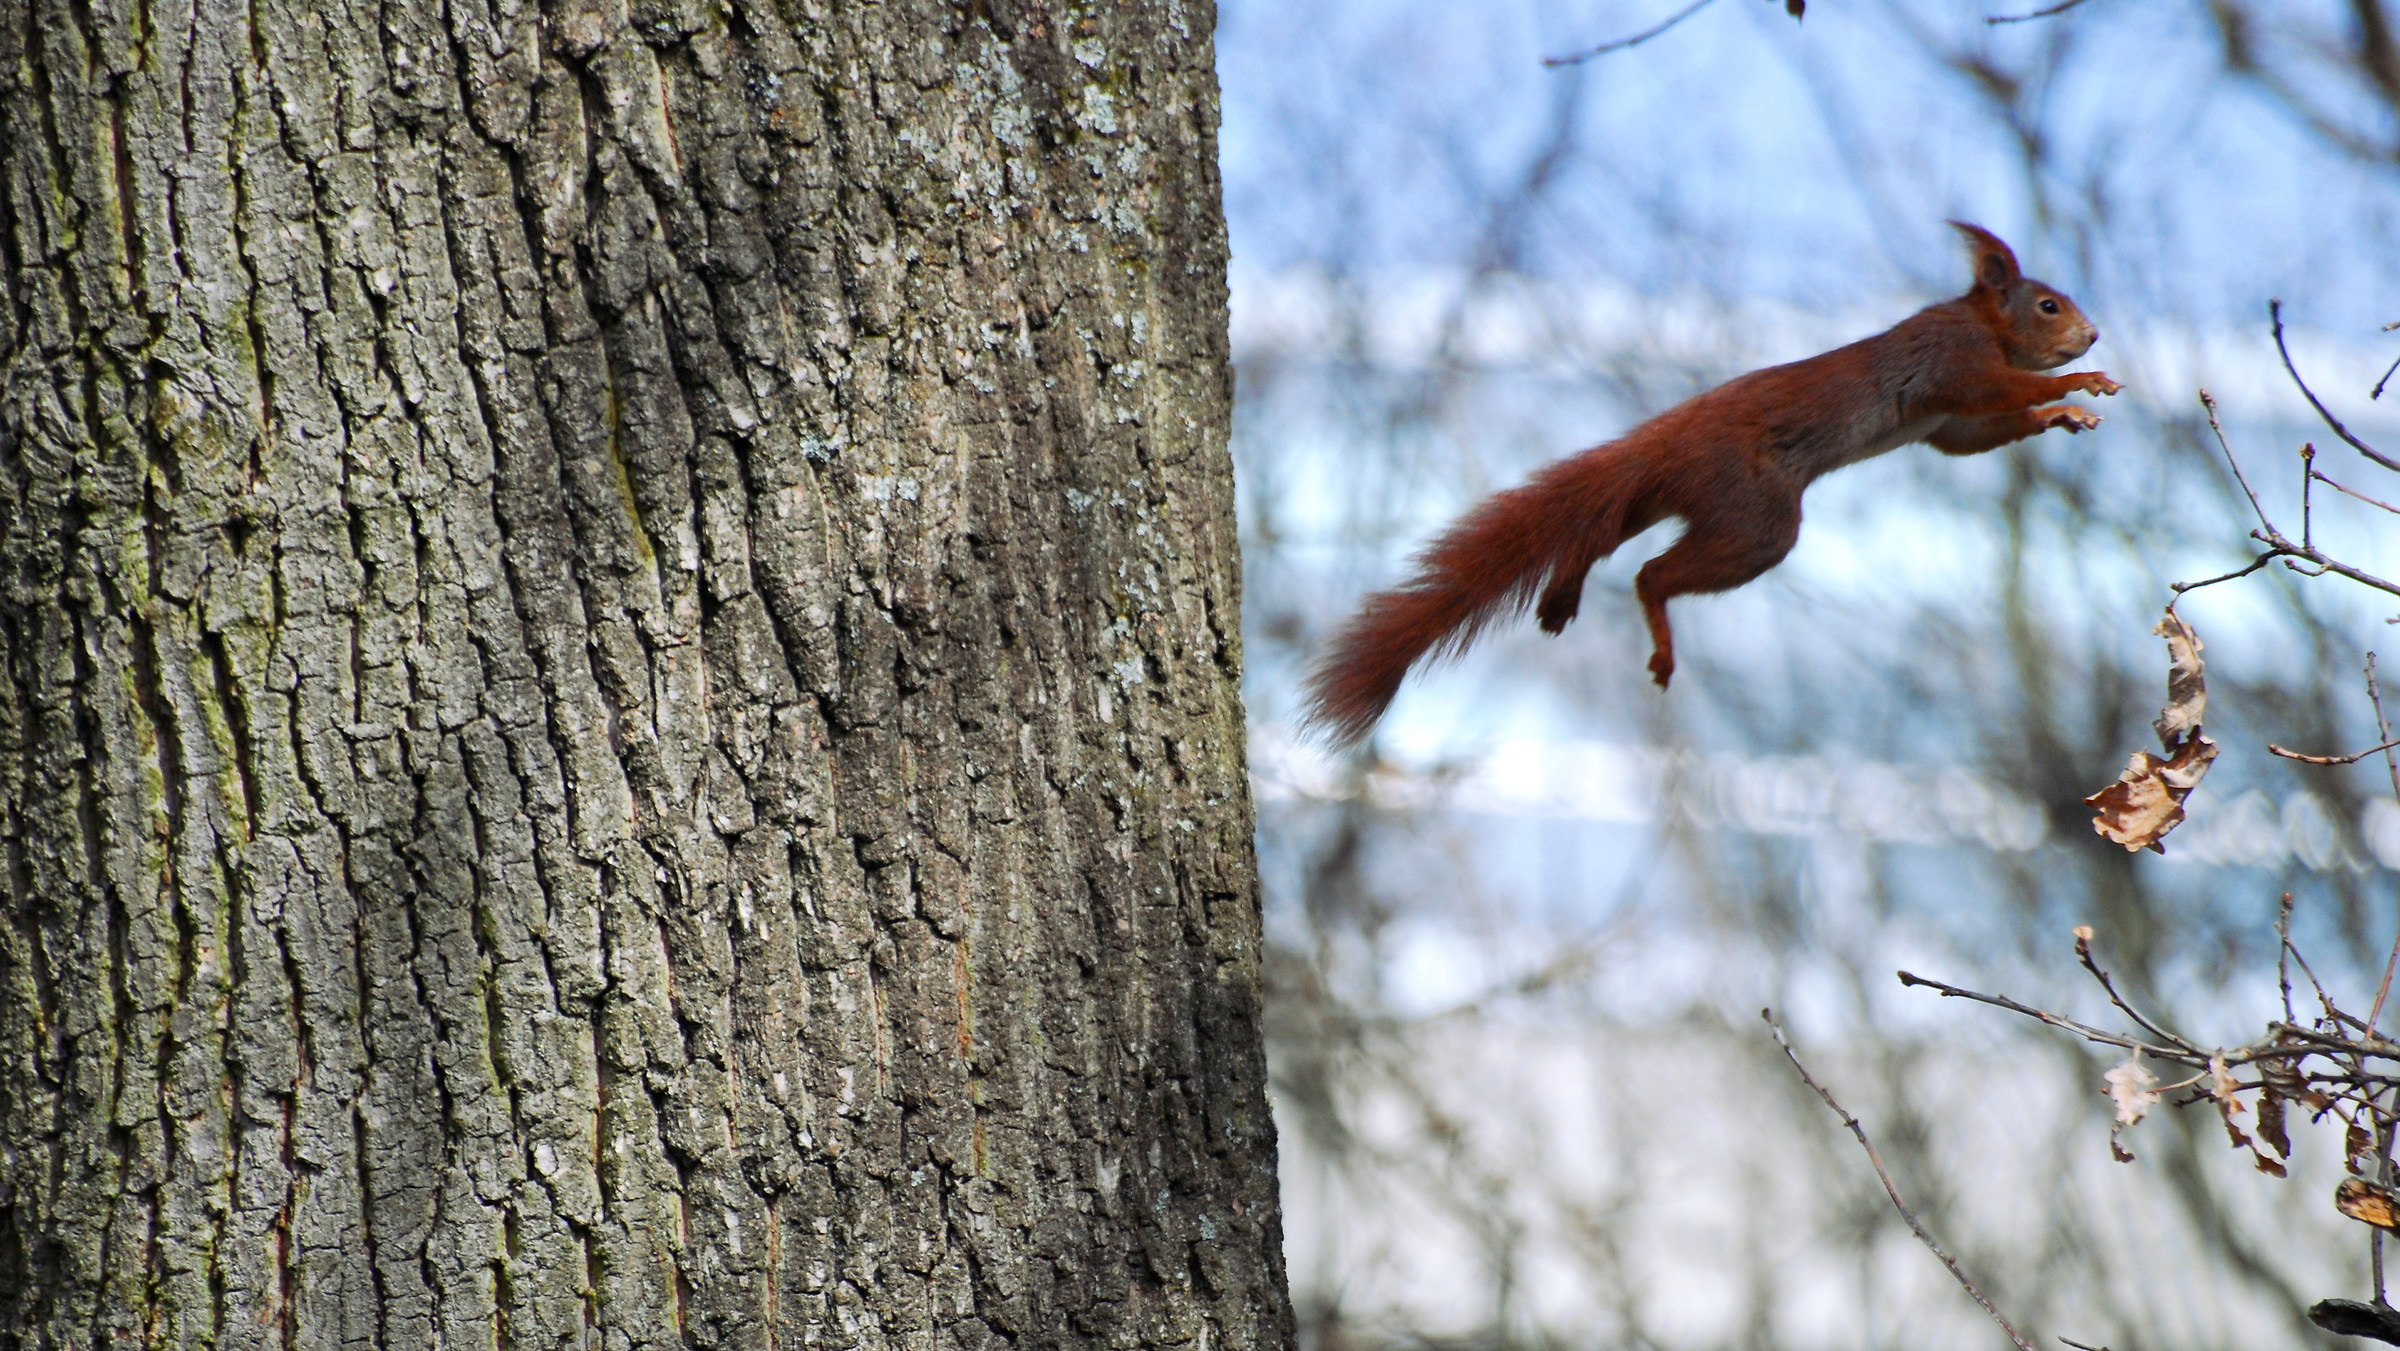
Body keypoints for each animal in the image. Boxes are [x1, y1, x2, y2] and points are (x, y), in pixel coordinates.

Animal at [1303, 222, 2118, 745]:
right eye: (2047, 304)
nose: (2093, 334)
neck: (1980, 322)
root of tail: (1666, 439)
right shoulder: (1953, 364)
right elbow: (1994, 395)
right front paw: (2078, 384)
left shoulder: (1946, 423)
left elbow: (1974, 436)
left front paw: (2062, 415)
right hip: (1754, 515)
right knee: (1649, 573)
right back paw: (1657, 634)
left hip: (1666, 498)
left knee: (1595, 538)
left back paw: (1563, 593)